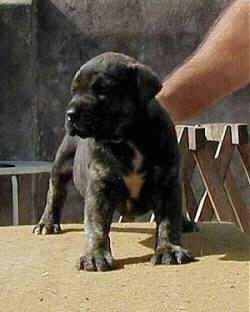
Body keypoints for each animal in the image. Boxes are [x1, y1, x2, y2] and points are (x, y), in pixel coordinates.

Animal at [33, 51, 194, 270]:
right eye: (74, 91)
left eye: (103, 89)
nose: (70, 114)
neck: (128, 138)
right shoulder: (100, 187)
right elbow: (97, 226)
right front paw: (95, 255)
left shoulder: (167, 184)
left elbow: (168, 221)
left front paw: (168, 249)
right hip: (62, 163)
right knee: (55, 191)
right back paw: (47, 223)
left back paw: (185, 223)